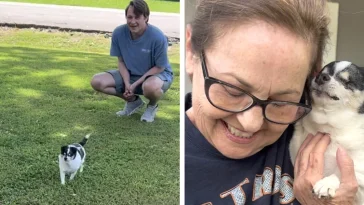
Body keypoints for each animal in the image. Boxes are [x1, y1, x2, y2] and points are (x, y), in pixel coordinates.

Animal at [290, 60, 364, 203]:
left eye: (347, 82)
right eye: (321, 72)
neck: (330, 127)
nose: (321, 77)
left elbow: (341, 174)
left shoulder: (360, 172)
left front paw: (327, 183)